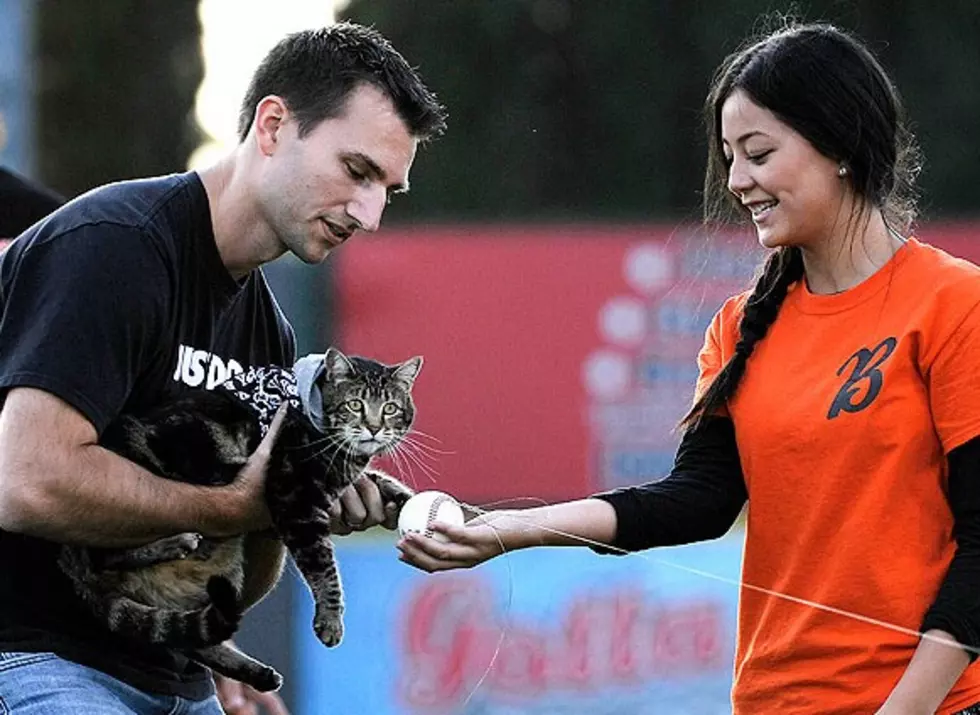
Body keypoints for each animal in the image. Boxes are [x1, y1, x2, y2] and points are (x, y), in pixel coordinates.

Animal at [55, 348, 420, 692]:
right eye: (355, 405)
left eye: (390, 408)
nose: (373, 428)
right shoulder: (295, 498)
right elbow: (323, 568)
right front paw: (330, 620)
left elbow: (384, 484)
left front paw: (414, 504)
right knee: (104, 555)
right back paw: (175, 542)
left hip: (224, 569)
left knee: (190, 638)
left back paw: (254, 671)